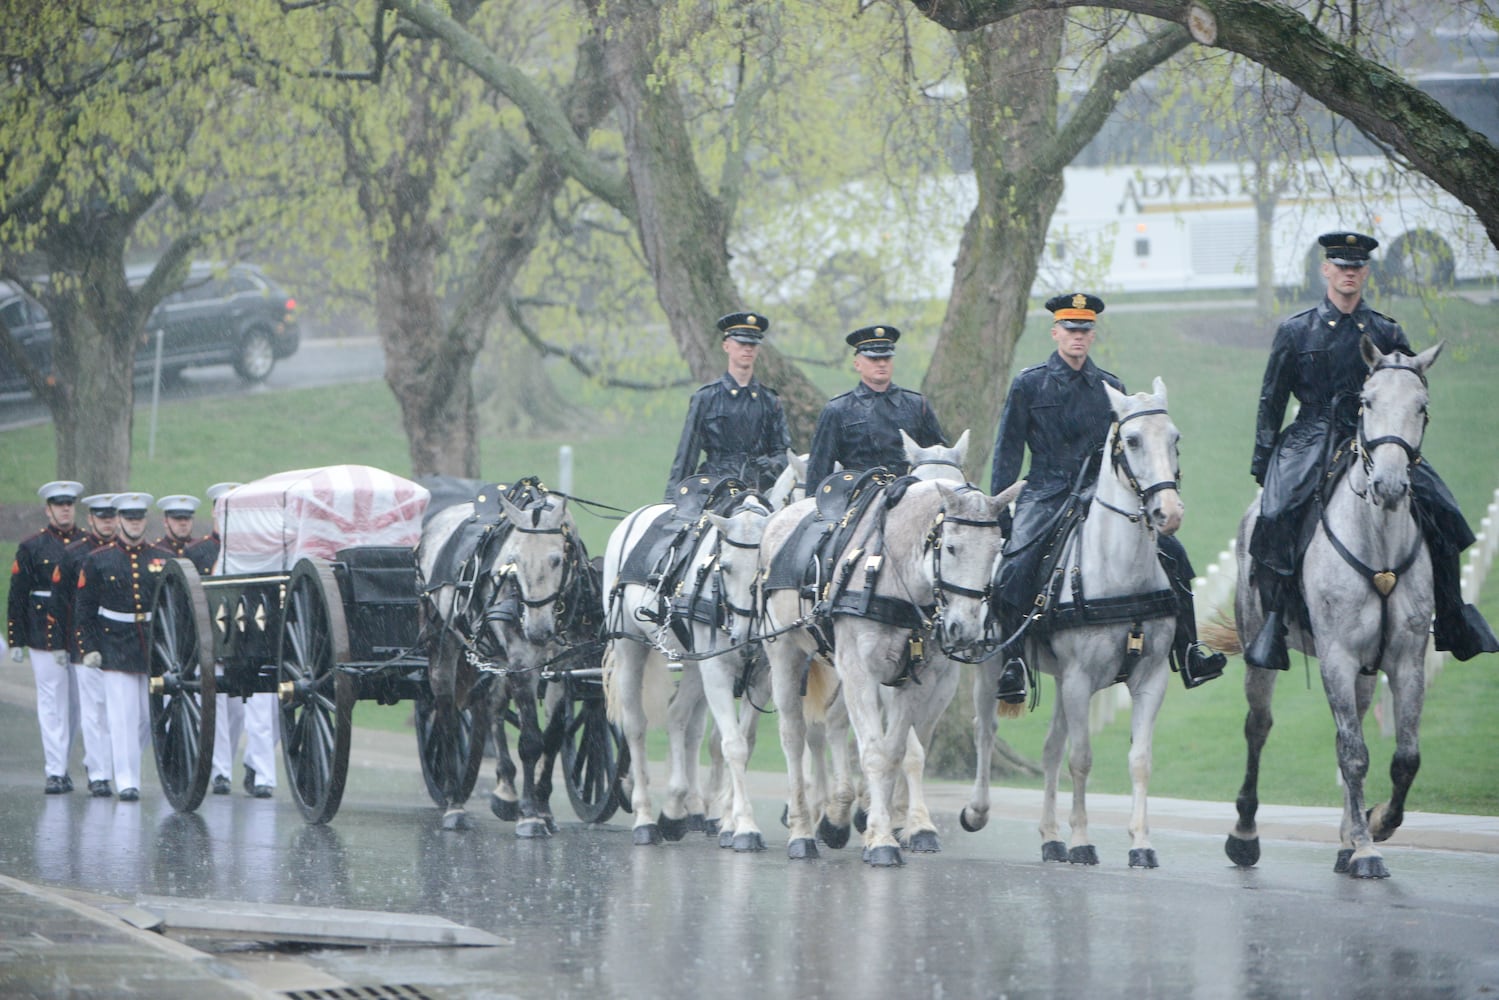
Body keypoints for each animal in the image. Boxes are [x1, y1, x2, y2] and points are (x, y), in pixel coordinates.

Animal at [605, 488, 779, 851]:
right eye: (724, 568)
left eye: (763, 568)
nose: (744, 637)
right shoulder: (715, 670)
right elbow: (733, 745)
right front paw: (744, 826)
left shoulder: (760, 679)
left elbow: (744, 741)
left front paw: (729, 822)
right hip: (629, 648)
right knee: (636, 727)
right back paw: (645, 818)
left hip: (692, 666)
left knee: (678, 717)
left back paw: (673, 810)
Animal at [965, 380, 1187, 869]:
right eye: (1133, 440)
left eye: (1174, 438)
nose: (1169, 512)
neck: (1120, 573)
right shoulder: (1081, 679)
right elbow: (1081, 759)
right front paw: (1084, 840)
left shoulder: (1149, 678)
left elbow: (1139, 760)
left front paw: (1141, 843)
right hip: (993, 671)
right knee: (986, 733)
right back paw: (977, 809)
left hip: (1064, 683)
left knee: (1050, 749)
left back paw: (1050, 837)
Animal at [1211, 340, 1445, 881]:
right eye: (1367, 402)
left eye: (1421, 407)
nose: (1389, 486)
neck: (1378, 545)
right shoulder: (1337, 656)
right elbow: (1354, 754)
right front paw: (1367, 850)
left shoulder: (1405, 659)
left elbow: (1405, 757)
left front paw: (1374, 825)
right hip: (1262, 654)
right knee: (1259, 728)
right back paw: (1245, 835)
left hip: (1364, 673)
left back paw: (1345, 837)